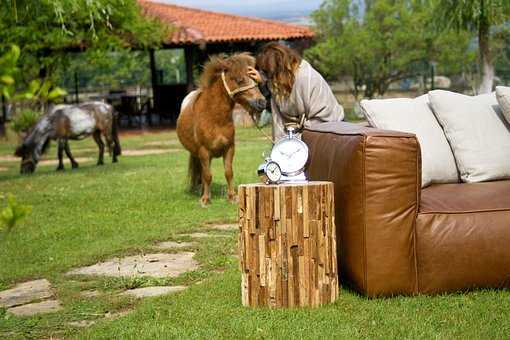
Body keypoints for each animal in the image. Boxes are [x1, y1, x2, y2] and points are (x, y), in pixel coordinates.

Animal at [177, 53, 266, 206]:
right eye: (239, 80)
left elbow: (228, 172)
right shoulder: (204, 152)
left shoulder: (229, 148)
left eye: (254, 78)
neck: (215, 118)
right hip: (197, 153)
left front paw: (232, 197)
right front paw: (205, 200)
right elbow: (208, 175)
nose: (262, 102)